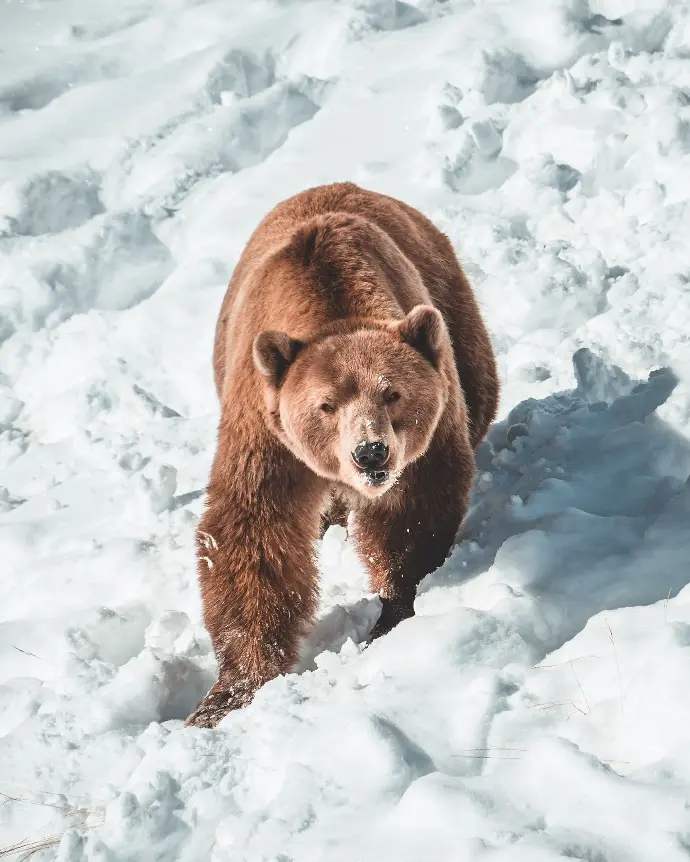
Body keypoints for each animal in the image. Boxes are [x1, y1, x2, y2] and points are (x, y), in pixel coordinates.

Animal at [184, 182, 494, 728]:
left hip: (453, 316)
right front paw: (229, 692)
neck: (331, 309)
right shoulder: (267, 433)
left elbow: (411, 515)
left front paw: (392, 610)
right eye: (325, 405)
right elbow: (251, 534)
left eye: (392, 393)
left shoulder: (425, 442)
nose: (370, 453)